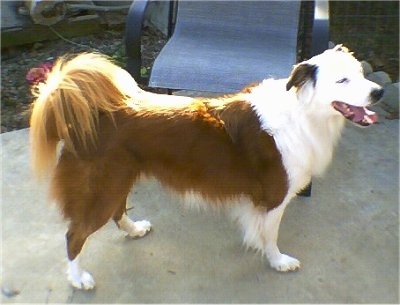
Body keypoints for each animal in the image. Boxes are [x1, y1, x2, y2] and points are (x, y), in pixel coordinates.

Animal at [30, 44, 382, 288]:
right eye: (342, 80)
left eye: (361, 74)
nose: (379, 92)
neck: (303, 113)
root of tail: (92, 114)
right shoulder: (274, 197)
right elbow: (270, 235)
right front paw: (278, 261)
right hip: (103, 186)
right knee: (75, 234)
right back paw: (78, 278)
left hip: (119, 179)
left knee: (117, 212)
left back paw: (135, 229)